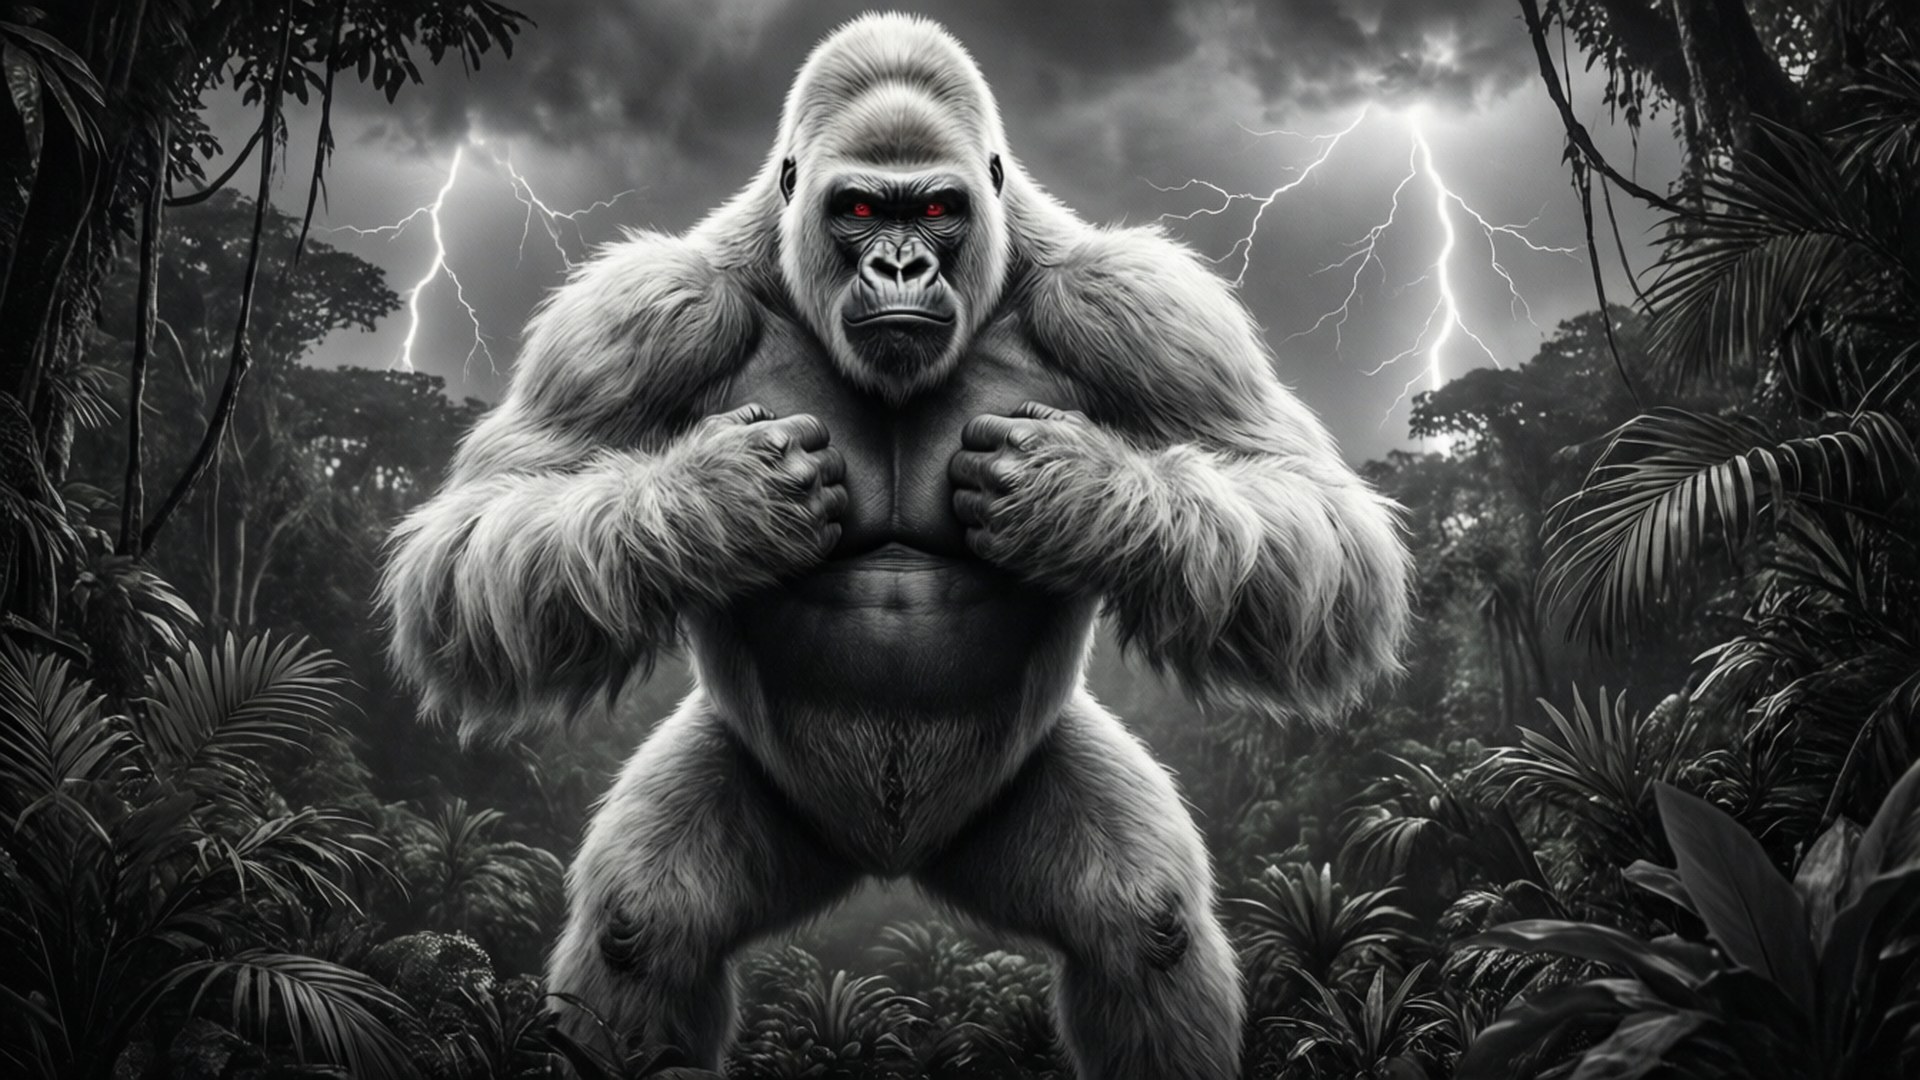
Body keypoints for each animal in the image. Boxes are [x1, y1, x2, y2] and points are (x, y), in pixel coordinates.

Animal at [381, 14, 1410, 1079]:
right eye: (864, 207)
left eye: (941, 208)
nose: (903, 268)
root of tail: (891, 862)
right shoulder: (640, 313)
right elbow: (472, 541)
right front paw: (724, 496)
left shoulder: (1140, 306)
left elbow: (1316, 519)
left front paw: (1073, 489)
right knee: (642, 927)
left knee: (1146, 925)